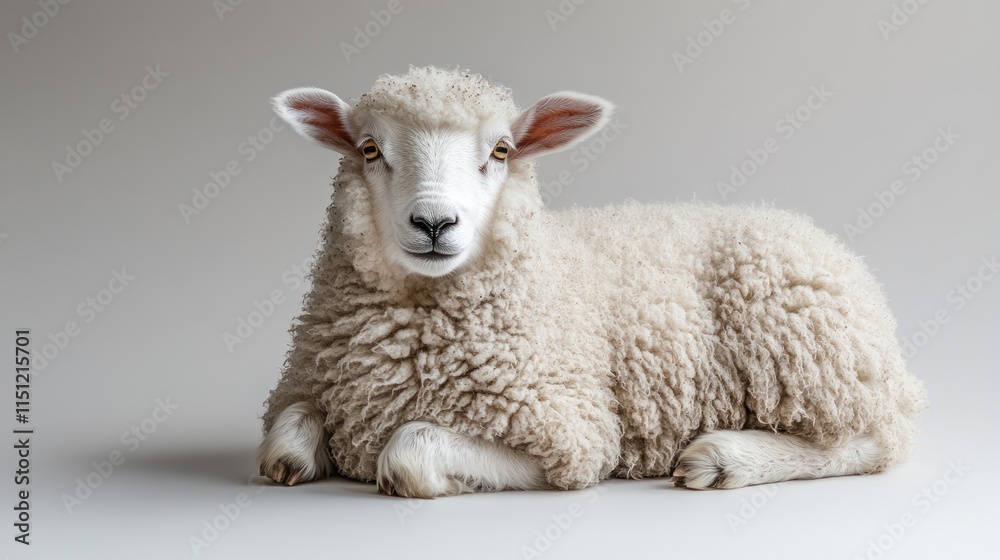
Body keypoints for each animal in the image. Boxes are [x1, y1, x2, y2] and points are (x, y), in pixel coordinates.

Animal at [257, 66, 928, 497]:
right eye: (370, 149)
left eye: (502, 151)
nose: (434, 223)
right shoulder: (314, 382)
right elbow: (285, 435)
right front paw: (299, 456)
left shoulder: (576, 431)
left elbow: (407, 452)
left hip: (815, 353)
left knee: (874, 439)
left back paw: (723, 459)